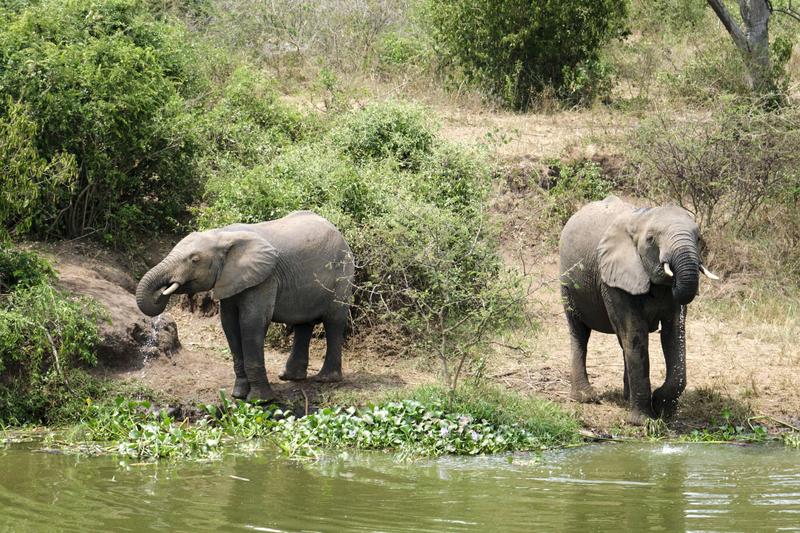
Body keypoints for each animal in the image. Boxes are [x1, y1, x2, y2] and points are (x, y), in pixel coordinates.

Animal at [136, 210, 354, 402]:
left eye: (194, 260)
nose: (161, 293)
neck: (222, 235)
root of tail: (336, 230)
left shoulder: (263, 278)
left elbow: (251, 323)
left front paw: (260, 400)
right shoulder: (230, 279)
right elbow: (229, 324)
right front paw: (239, 395)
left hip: (343, 272)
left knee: (334, 321)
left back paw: (325, 379)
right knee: (304, 324)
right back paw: (289, 377)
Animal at [556, 195, 720, 424]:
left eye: (698, 238)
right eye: (651, 239)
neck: (642, 217)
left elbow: (672, 335)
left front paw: (663, 407)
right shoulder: (614, 279)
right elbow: (635, 334)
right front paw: (643, 421)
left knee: (620, 341)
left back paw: (627, 397)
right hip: (568, 282)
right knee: (580, 332)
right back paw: (585, 398)